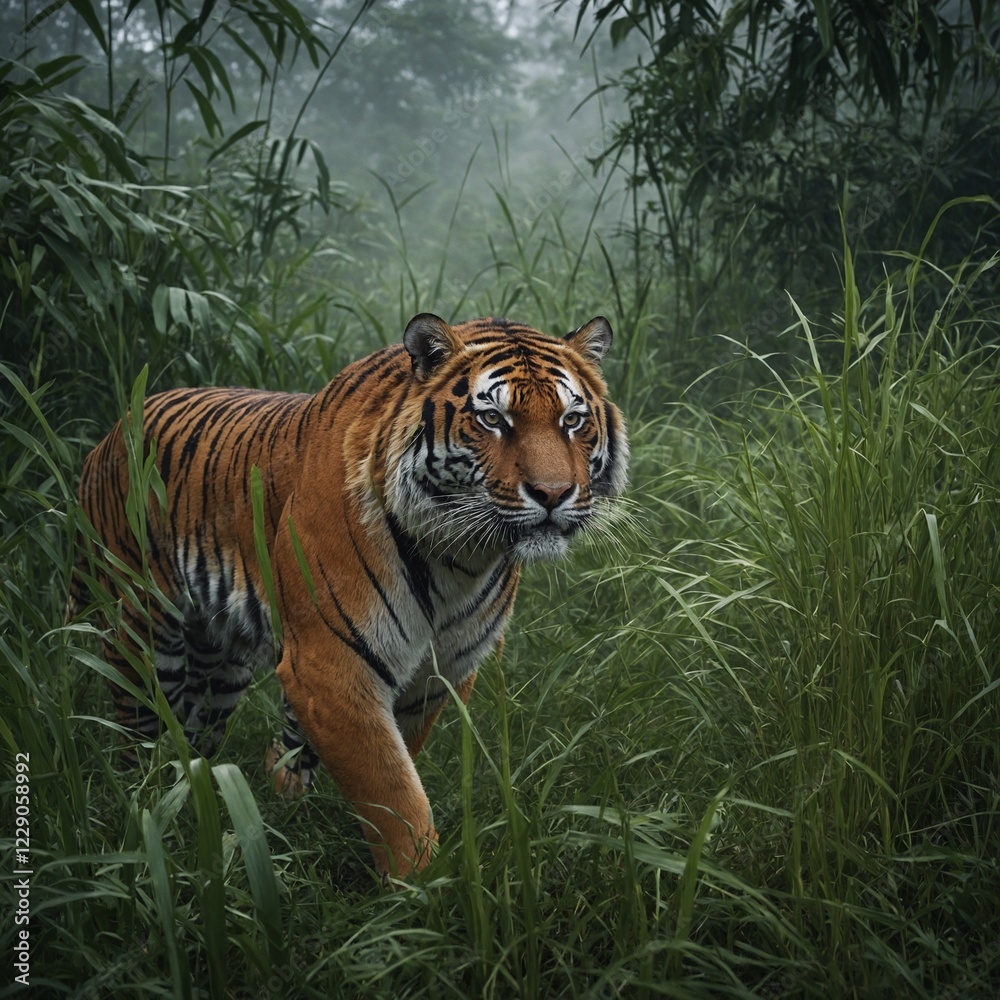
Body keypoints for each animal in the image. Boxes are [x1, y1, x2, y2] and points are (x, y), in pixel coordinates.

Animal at [75, 313, 629, 877]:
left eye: (572, 421)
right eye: (493, 419)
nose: (553, 494)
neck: (460, 560)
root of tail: (114, 428)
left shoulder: (437, 673)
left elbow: (398, 770)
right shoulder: (331, 666)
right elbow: (390, 786)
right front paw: (425, 887)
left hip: (221, 663)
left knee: (200, 733)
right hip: (138, 629)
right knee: (139, 731)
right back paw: (147, 810)